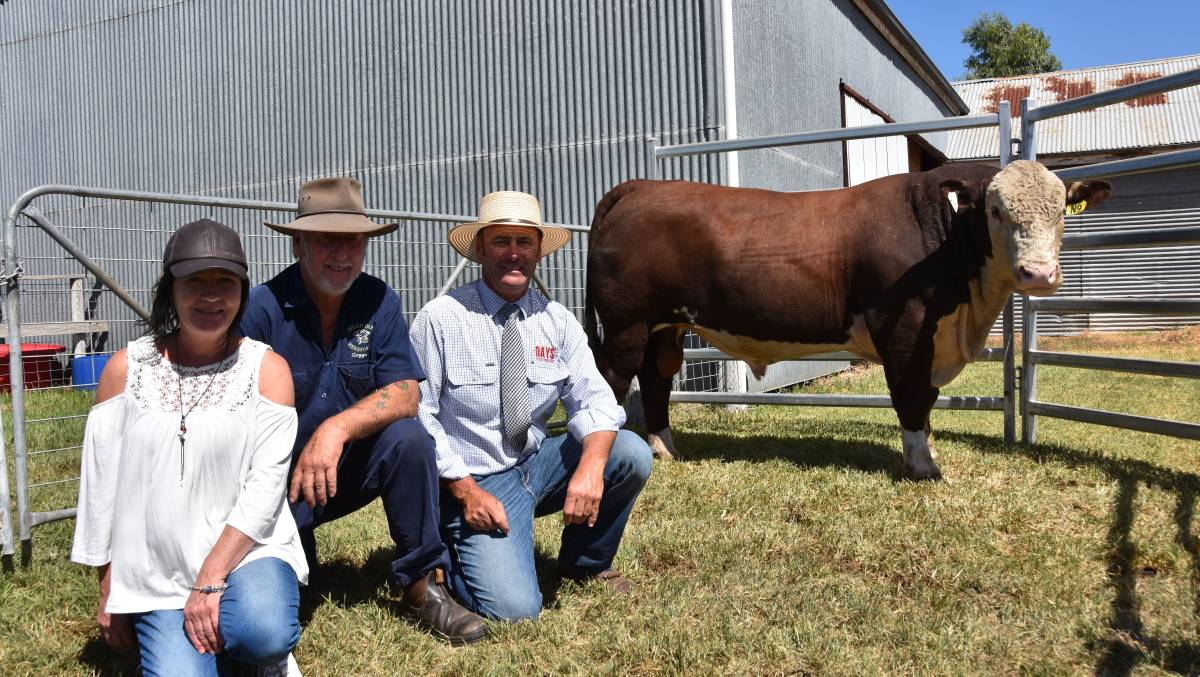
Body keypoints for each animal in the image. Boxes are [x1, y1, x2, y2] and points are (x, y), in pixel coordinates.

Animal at [580, 162, 1104, 480]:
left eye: (1061, 211)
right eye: (996, 210)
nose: (1039, 273)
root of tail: (641, 186)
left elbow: (928, 400)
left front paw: (927, 453)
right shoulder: (905, 329)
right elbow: (911, 396)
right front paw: (922, 466)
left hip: (663, 328)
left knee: (655, 381)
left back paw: (667, 449)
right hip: (626, 324)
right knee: (614, 377)